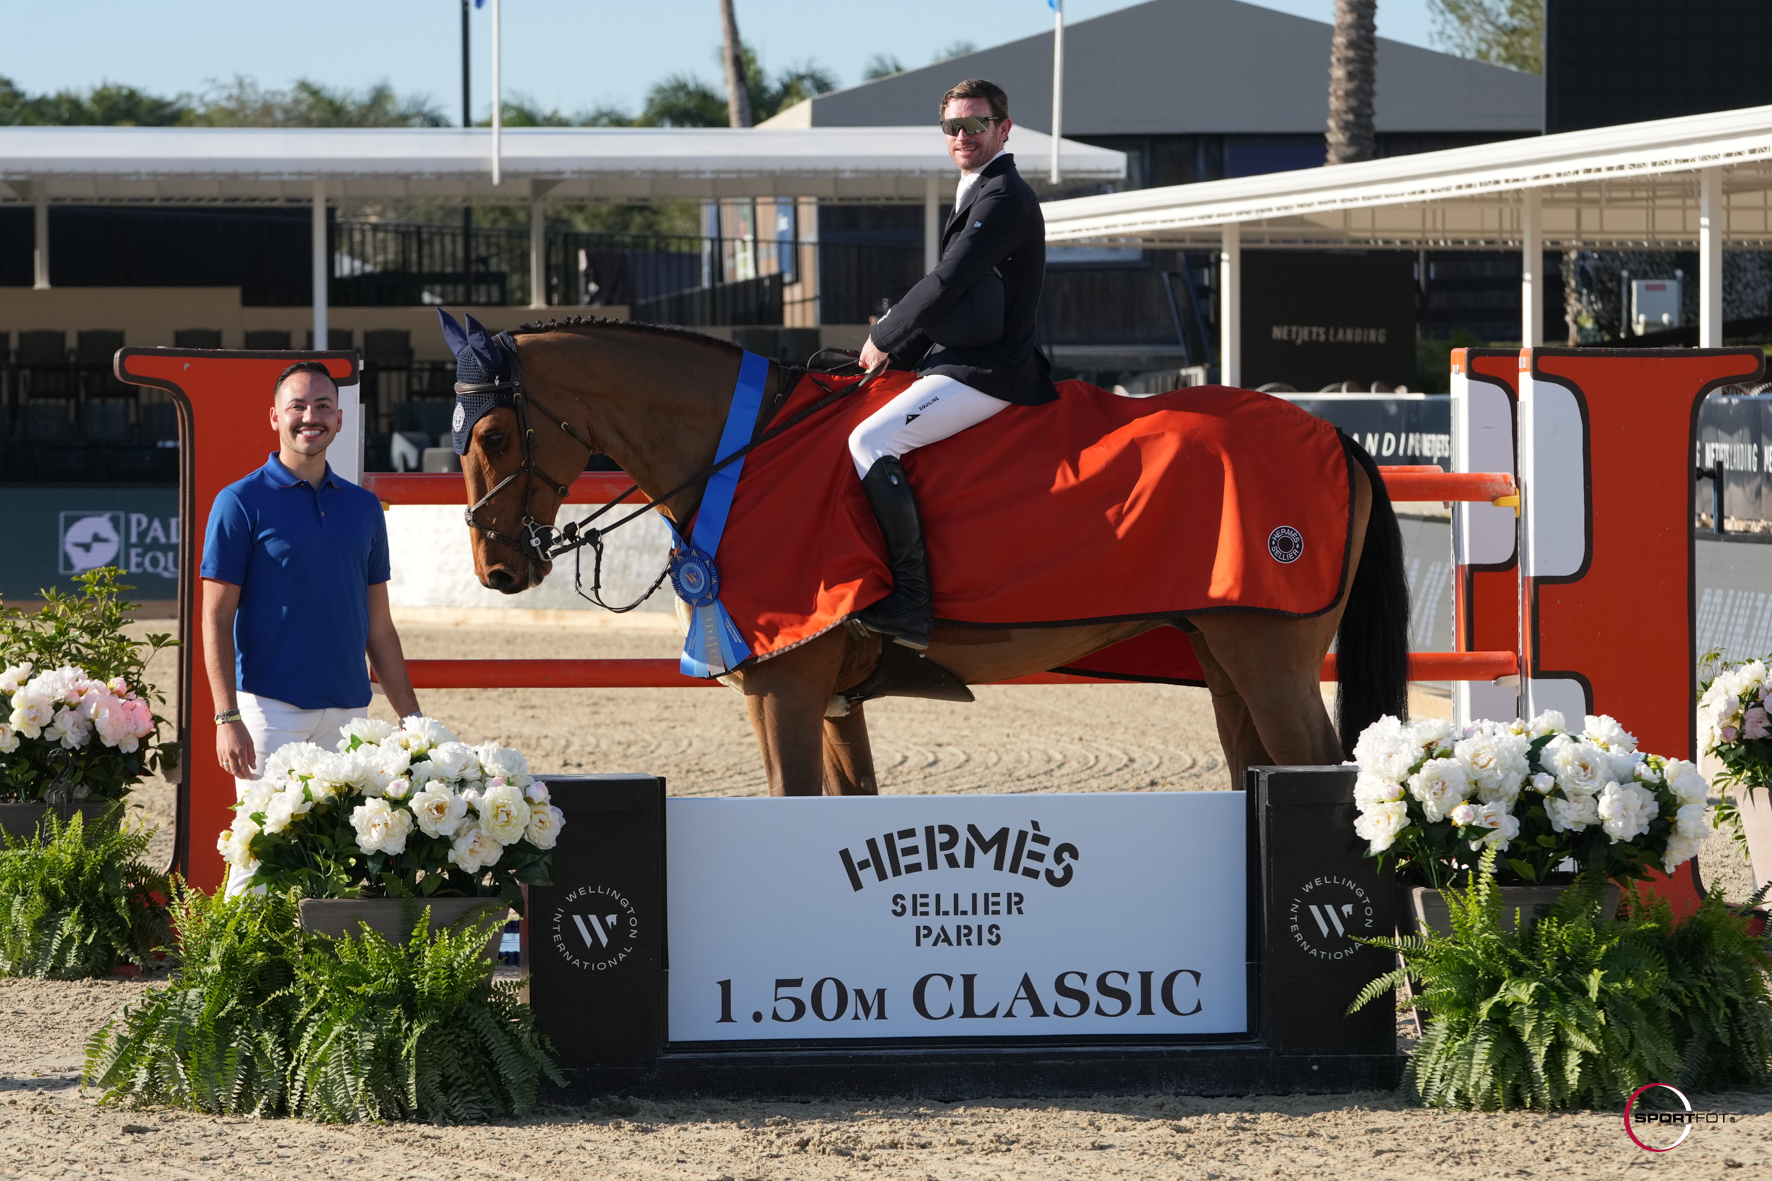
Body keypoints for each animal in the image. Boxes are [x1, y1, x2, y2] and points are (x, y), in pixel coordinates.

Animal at [453, 315, 1410, 790]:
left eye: (495, 435)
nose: (497, 570)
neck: (745, 451)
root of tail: (1335, 435)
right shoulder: (833, 698)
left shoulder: (782, 689)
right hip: (1224, 657)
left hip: (1271, 660)